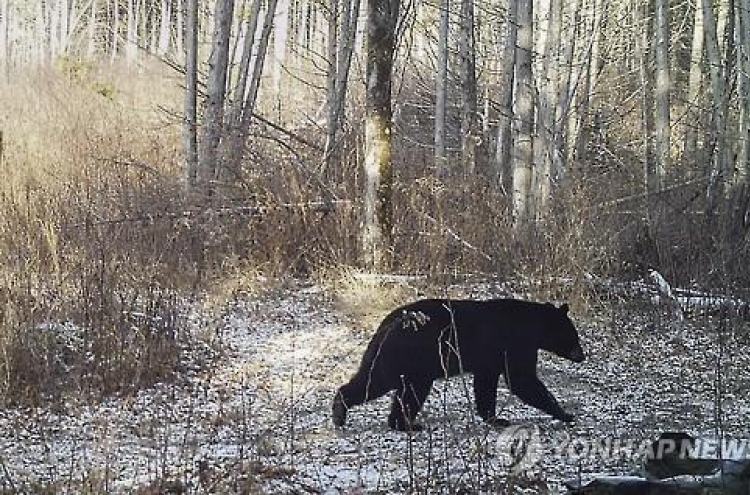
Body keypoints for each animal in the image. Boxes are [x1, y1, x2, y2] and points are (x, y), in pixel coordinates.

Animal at [332, 300, 584, 432]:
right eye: (574, 335)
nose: (582, 356)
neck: (532, 326)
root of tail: (387, 324)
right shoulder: (514, 345)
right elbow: (523, 380)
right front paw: (565, 414)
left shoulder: (489, 360)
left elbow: (486, 385)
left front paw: (494, 418)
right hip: (407, 359)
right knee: (386, 384)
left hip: (395, 360)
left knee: (380, 383)